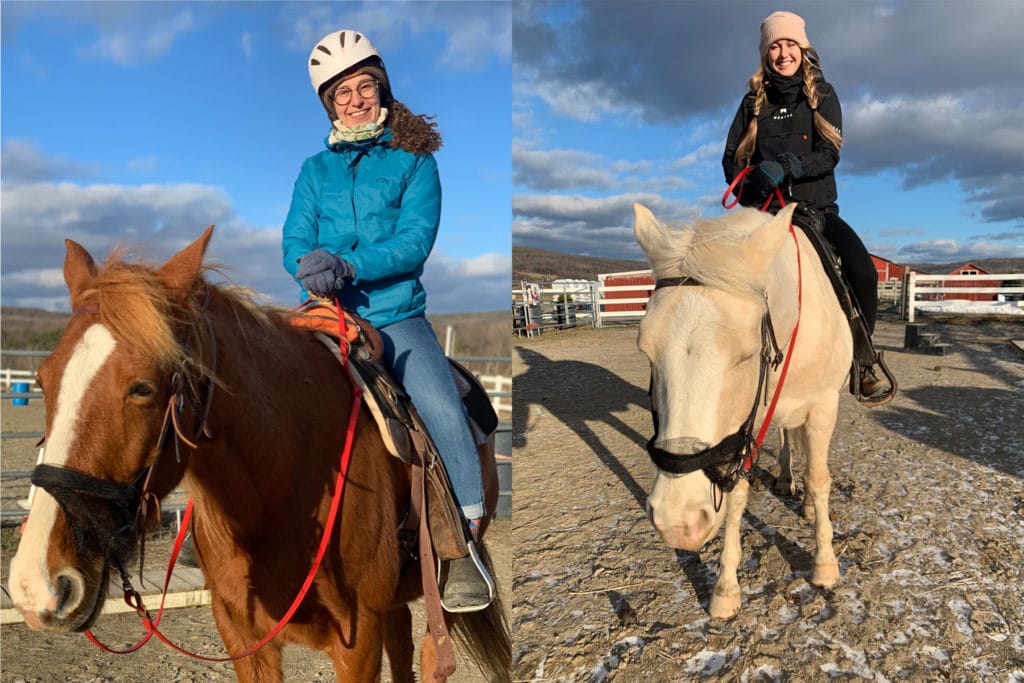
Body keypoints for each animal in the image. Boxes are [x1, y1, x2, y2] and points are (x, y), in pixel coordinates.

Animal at [4, 227, 507, 679]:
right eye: (43, 381)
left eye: (142, 387)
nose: (38, 585)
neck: (279, 494)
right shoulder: (242, 636)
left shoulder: (359, 641)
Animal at [634, 202, 851, 618]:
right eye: (646, 353)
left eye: (747, 354)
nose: (678, 521)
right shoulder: (744, 427)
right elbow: (736, 497)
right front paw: (725, 588)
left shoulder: (822, 407)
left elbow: (819, 479)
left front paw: (825, 564)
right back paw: (785, 479)